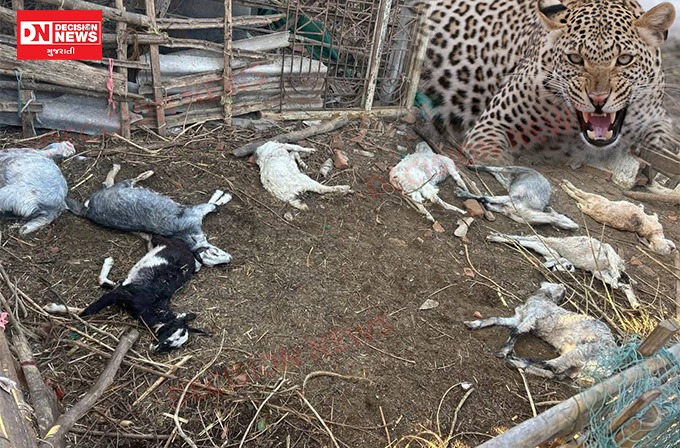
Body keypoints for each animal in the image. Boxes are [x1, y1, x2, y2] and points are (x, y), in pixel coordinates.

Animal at [418, 0, 678, 188]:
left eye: (624, 59)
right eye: (575, 58)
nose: (598, 99)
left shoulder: (657, 117)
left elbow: (665, 142)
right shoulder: (492, 124)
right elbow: (494, 157)